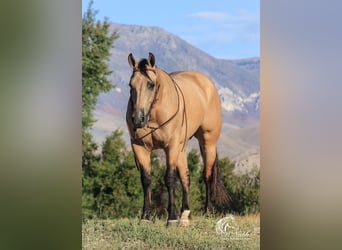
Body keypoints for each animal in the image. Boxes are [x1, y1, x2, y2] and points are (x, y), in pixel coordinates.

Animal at [125, 52, 230, 227]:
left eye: (151, 84)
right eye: (130, 85)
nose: (138, 119)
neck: (154, 115)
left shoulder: (171, 146)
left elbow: (170, 179)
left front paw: (172, 218)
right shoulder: (139, 147)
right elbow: (146, 179)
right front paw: (146, 217)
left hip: (207, 143)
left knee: (207, 176)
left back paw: (207, 211)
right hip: (182, 147)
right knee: (185, 177)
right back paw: (185, 215)